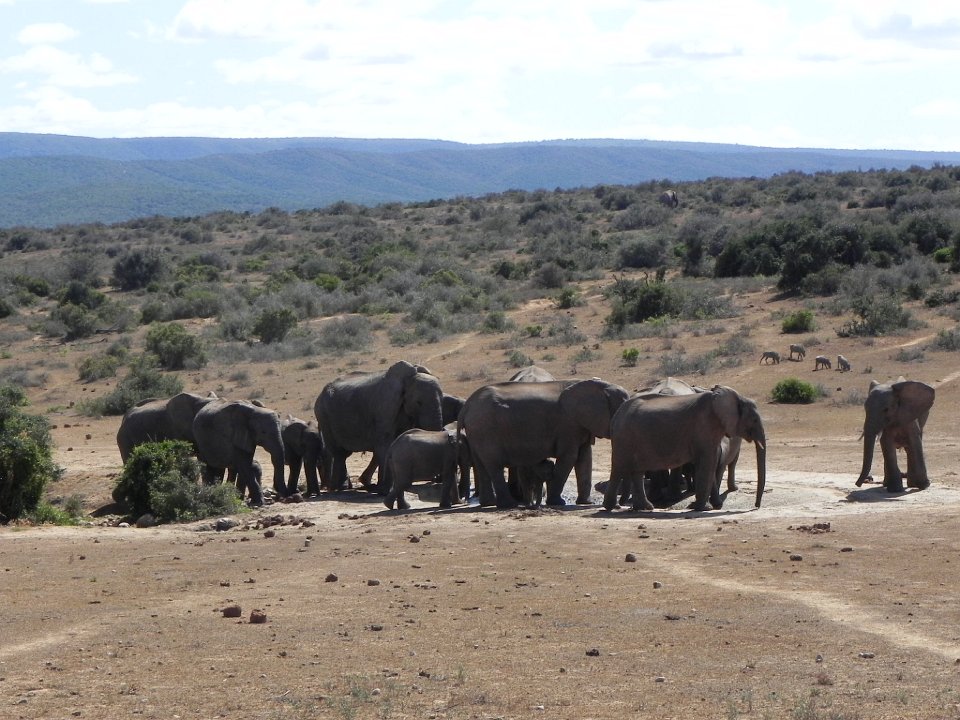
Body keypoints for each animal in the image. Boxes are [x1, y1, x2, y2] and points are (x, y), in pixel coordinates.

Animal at [315, 361, 444, 494]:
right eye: (418, 402)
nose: (436, 481)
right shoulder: (384, 407)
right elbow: (385, 444)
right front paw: (384, 492)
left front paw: (382, 490)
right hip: (324, 416)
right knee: (339, 453)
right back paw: (341, 488)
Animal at [458, 378, 630, 507]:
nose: (619, 505)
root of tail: (467, 406)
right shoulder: (568, 425)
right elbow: (569, 458)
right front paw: (558, 503)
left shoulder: (580, 425)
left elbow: (585, 458)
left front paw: (586, 503)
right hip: (485, 430)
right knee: (494, 465)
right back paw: (509, 505)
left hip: (477, 431)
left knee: (482, 465)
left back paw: (489, 504)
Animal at [603, 385, 766, 512]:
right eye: (754, 419)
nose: (756, 506)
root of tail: (616, 416)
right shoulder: (705, 427)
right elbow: (707, 463)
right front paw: (702, 508)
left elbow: (709, 463)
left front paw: (700, 506)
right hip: (624, 438)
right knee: (619, 467)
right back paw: (612, 507)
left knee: (637, 471)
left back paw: (645, 507)